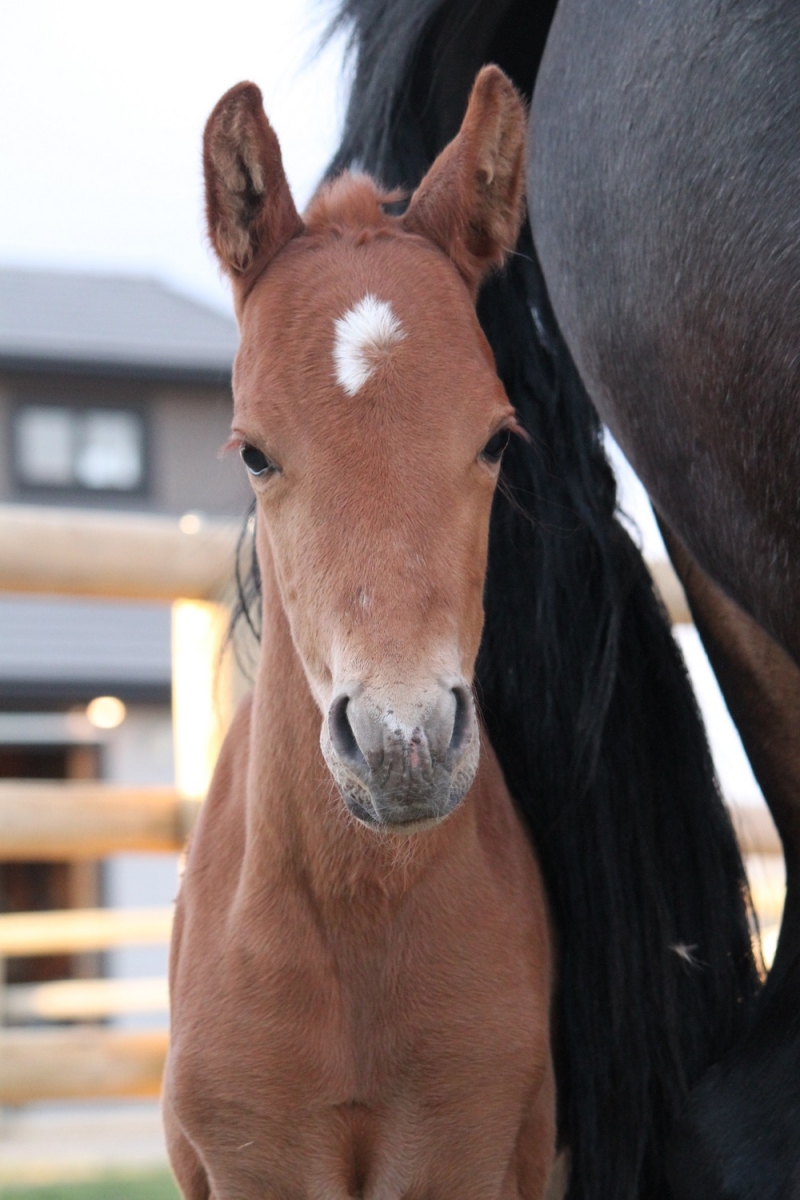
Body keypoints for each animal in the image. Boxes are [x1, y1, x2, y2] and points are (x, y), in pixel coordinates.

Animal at [163, 71, 561, 1199]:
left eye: (496, 440)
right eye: (253, 452)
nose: (403, 744)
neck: (354, 916)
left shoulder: (462, 1150)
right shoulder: (250, 1159)